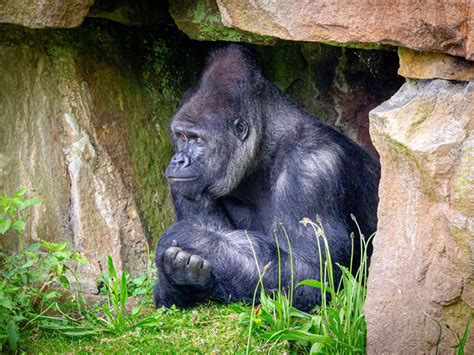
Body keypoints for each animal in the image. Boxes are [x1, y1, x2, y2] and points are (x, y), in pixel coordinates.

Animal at [154, 44, 380, 312]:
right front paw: (178, 279)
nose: (178, 160)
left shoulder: (311, 163)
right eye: (180, 136)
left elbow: (310, 271)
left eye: (198, 139)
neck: (265, 149)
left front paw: (191, 238)